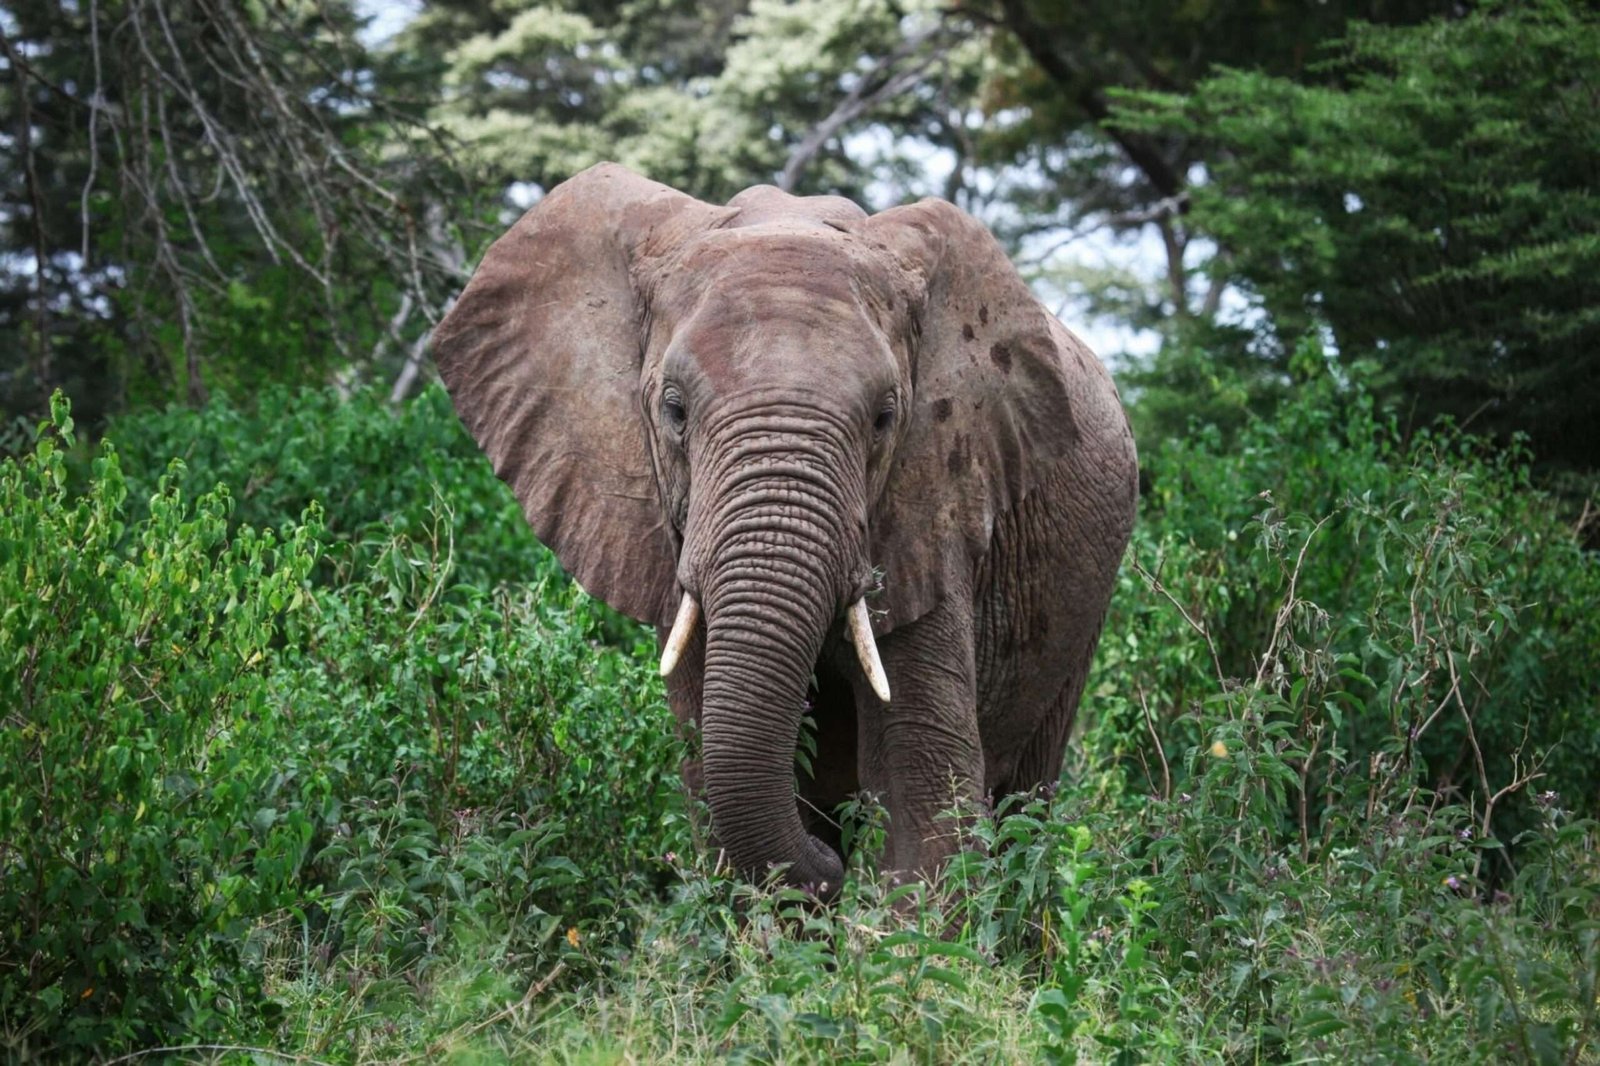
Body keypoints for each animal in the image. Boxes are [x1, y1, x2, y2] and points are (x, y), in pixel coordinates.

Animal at [432, 163, 1138, 893]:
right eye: (673, 410)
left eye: (885, 419)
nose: (830, 869)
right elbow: (707, 760)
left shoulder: (937, 501)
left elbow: (922, 783)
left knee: (1029, 795)